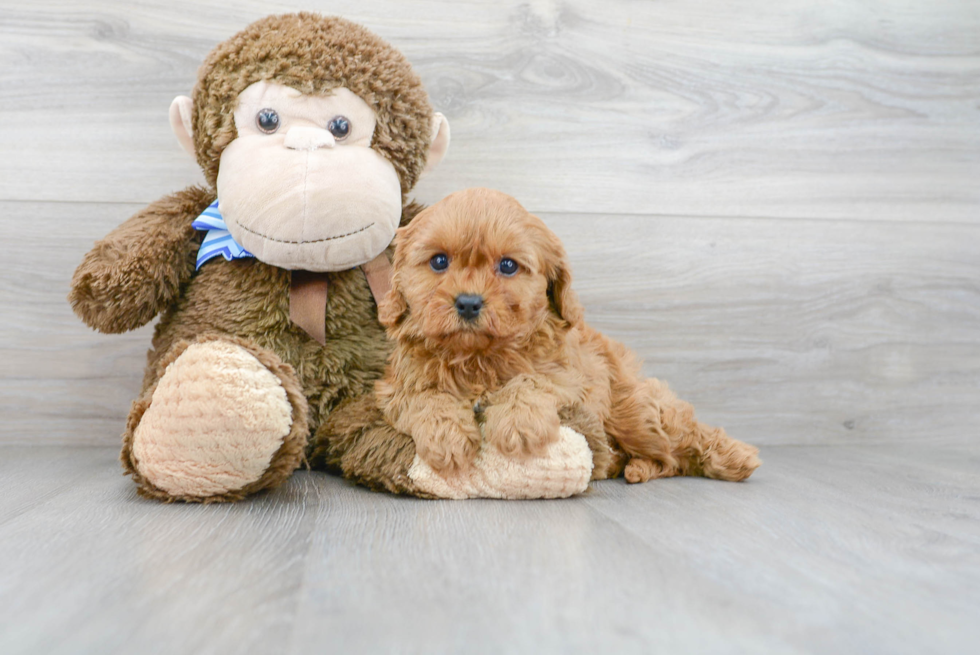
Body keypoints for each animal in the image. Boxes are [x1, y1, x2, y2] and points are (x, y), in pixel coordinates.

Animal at [376, 187, 756, 484]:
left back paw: (736, 456)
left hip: (636, 413)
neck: (478, 356)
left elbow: (530, 381)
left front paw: (519, 422)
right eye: (439, 261)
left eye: (508, 266)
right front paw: (447, 437)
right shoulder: (395, 387)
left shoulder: (570, 379)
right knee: (666, 458)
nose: (468, 303)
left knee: (680, 436)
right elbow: (426, 396)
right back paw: (626, 466)